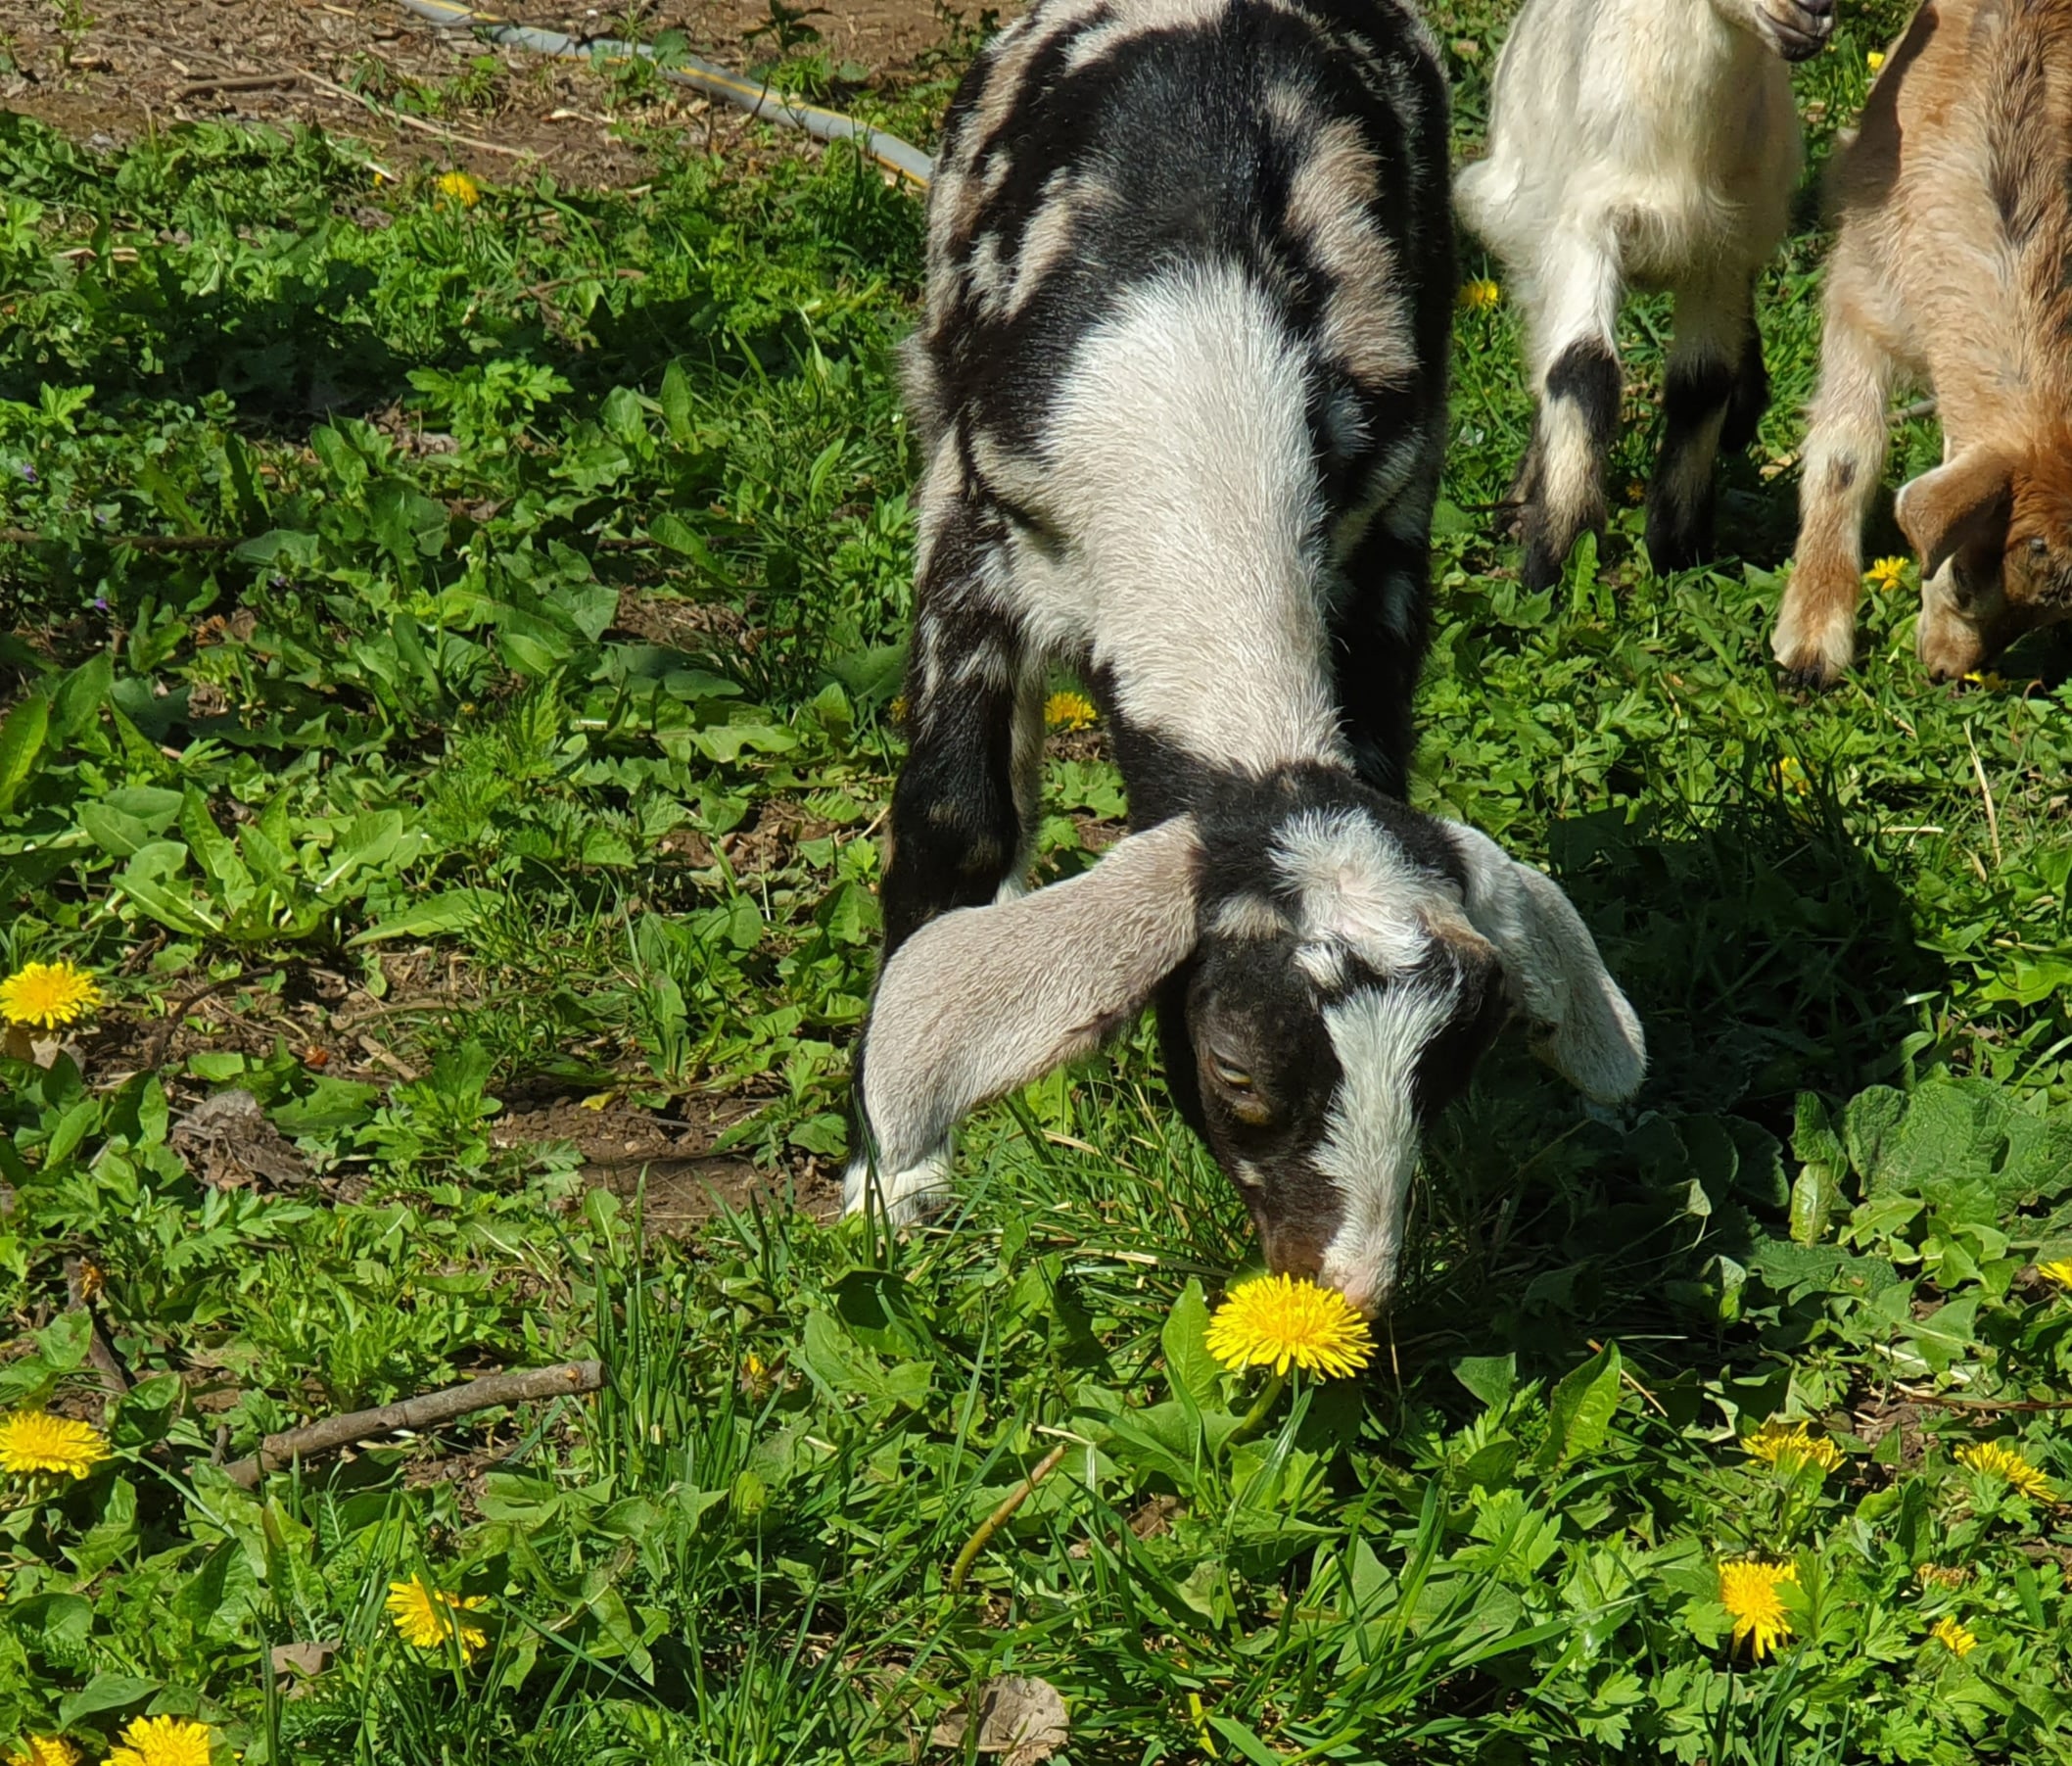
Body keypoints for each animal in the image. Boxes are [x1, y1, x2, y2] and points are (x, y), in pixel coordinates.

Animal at [1458, 0, 1831, 584]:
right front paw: (1557, 559)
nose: (1814, 14)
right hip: (1520, 223)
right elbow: (1582, 367)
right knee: (1544, 356)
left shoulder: (1720, 248)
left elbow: (1701, 383)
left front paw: (1677, 550)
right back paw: (1522, 501)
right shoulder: (1584, 226)